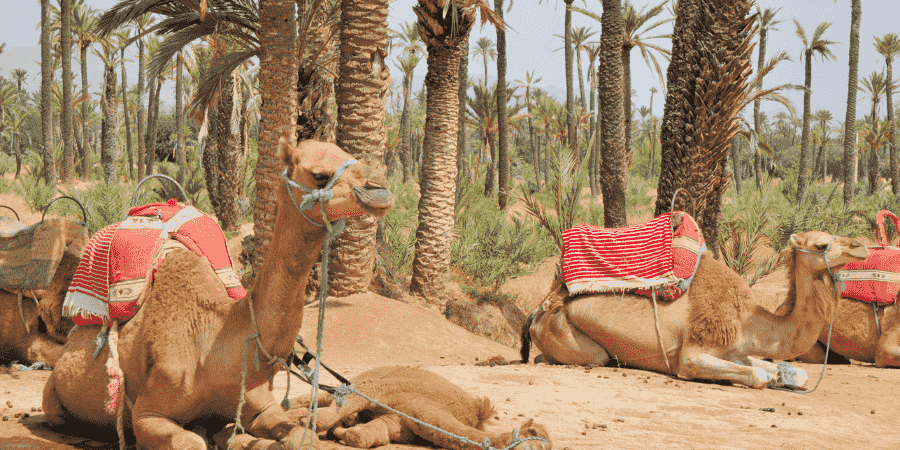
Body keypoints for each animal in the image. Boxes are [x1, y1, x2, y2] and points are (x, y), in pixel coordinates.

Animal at [41, 139, 394, 448]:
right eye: (319, 174)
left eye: (347, 153)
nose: (381, 188)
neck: (216, 342)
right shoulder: (147, 412)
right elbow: (189, 441)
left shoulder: (258, 403)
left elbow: (299, 435)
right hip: (53, 396)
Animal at [292, 366, 552, 450]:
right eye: (535, 436)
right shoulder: (380, 390)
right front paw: (311, 424)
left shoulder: (397, 422)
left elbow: (362, 436)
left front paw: (340, 432)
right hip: (362, 381)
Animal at [520, 232, 872, 390]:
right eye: (821, 245)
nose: (861, 246)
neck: (749, 322)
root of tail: (540, 307)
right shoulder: (692, 354)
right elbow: (757, 376)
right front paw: (767, 378)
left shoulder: (738, 351)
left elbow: (793, 372)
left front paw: (783, 376)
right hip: (573, 337)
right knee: (583, 357)